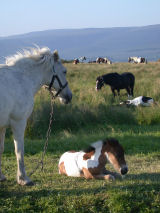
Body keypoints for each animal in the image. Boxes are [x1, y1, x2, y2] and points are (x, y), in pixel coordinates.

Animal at [0, 46, 72, 185]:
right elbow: (19, 151)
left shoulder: (2, 126)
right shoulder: (19, 122)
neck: (21, 79)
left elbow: (0, 149)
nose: (69, 96)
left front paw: (1, 176)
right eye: (64, 71)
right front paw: (23, 179)